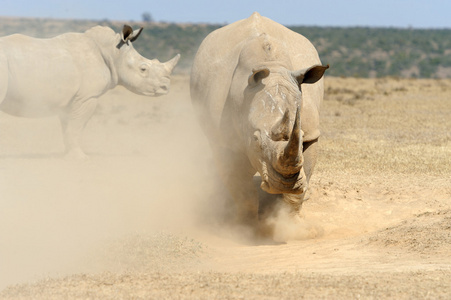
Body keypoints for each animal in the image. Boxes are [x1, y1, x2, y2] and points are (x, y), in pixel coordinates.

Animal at [0, 24, 180, 158]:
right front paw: (80, 157)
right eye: (143, 69)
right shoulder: (87, 97)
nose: (166, 87)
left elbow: (68, 127)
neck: (114, 53)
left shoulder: (71, 99)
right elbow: (76, 127)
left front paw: (68, 155)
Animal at [191, 11, 328, 239]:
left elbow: (304, 176)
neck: (273, 66)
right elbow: (242, 190)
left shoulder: (310, 133)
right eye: (255, 139)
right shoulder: (225, 140)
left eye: (300, 139)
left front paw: (294, 227)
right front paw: (244, 231)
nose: (285, 184)